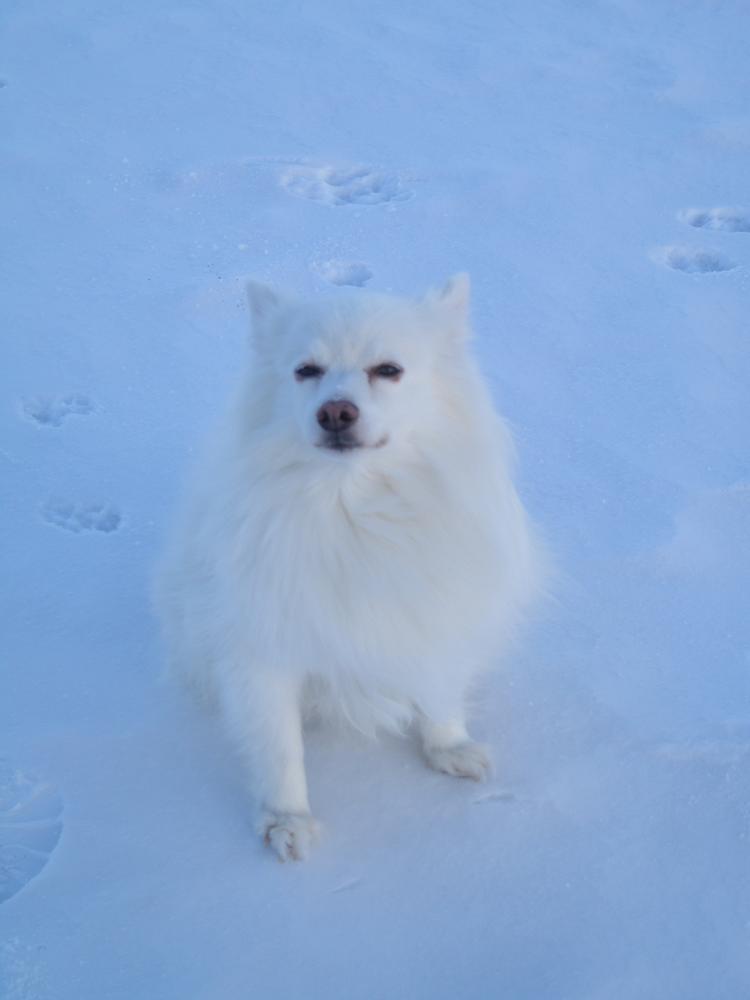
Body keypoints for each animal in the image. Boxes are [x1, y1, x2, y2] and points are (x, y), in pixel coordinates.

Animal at [156, 274, 540, 860]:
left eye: (388, 369)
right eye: (305, 370)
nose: (335, 412)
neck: (351, 504)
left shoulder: (436, 608)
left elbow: (441, 688)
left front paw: (448, 747)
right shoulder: (261, 645)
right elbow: (278, 745)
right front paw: (286, 819)